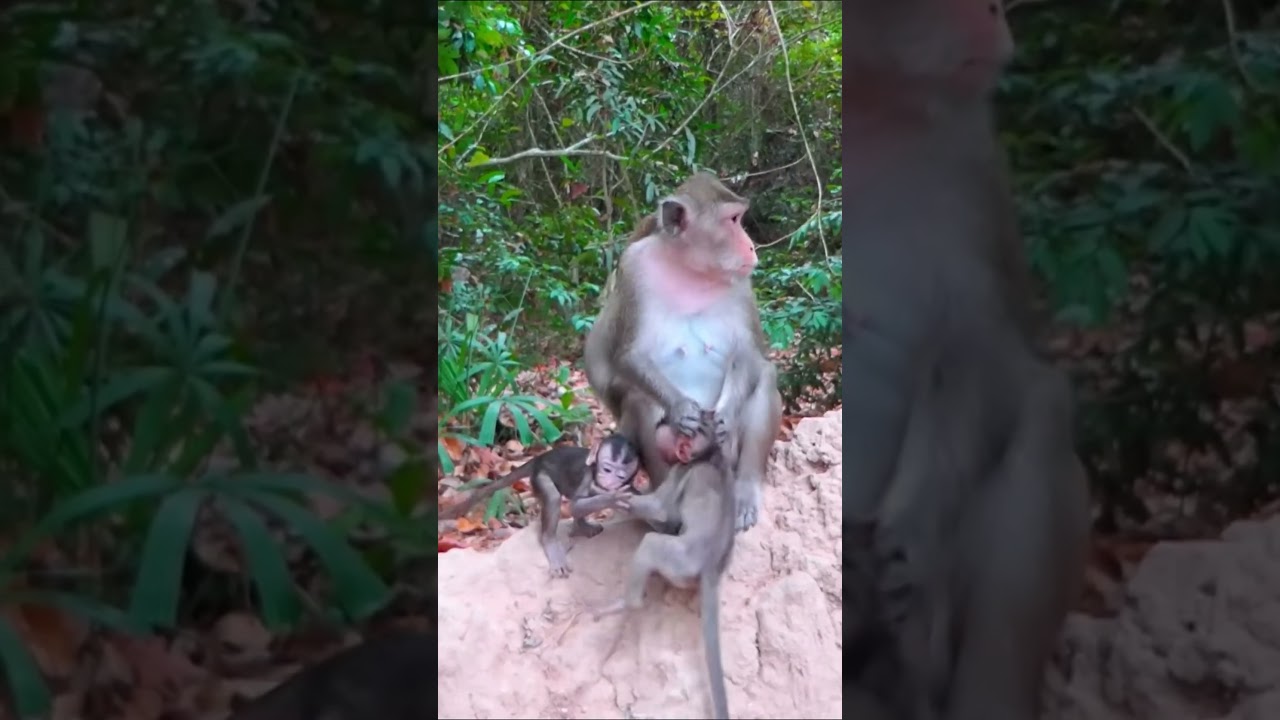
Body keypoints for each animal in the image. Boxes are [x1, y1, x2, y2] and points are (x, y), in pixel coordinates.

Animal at [440, 434, 640, 577]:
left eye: (620, 476)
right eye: (607, 469)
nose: (610, 482)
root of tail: (539, 458)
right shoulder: (587, 477)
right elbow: (575, 505)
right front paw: (611, 498)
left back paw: (581, 526)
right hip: (539, 476)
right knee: (552, 497)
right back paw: (550, 541)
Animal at [583, 171, 782, 534]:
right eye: (732, 220)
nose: (751, 246)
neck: (689, 269)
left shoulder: (741, 282)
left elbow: (748, 353)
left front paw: (726, 413)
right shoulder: (633, 269)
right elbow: (630, 356)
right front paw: (681, 408)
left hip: (729, 455)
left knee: (764, 375)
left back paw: (745, 490)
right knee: (640, 400)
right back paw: (665, 510)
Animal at [593, 413, 735, 720]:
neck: (711, 454)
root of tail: (710, 568)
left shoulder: (681, 471)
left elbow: (663, 511)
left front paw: (610, 493)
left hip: (679, 562)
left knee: (651, 544)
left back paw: (627, 603)